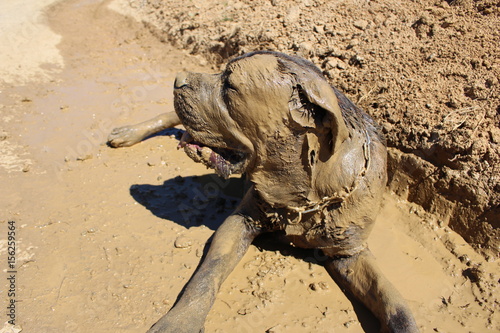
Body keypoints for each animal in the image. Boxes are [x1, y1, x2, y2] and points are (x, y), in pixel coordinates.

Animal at [108, 50, 418, 330]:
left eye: (230, 87)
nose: (178, 78)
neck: (306, 197)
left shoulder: (349, 252)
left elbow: (395, 303)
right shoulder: (240, 220)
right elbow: (207, 275)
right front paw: (180, 321)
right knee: (170, 116)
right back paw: (128, 133)